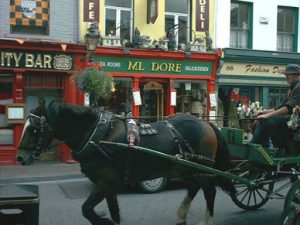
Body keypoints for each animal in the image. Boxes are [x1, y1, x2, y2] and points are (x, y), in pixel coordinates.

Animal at [18, 102, 234, 225]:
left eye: (34, 130)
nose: (20, 157)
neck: (97, 136)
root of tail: (206, 123)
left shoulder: (106, 182)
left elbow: (87, 209)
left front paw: (103, 220)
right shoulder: (110, 184)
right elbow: (106, 211)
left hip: (202, 169)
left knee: (209, 192)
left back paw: (206, 221)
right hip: (185, 168)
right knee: (193, 188)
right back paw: (181, 215)